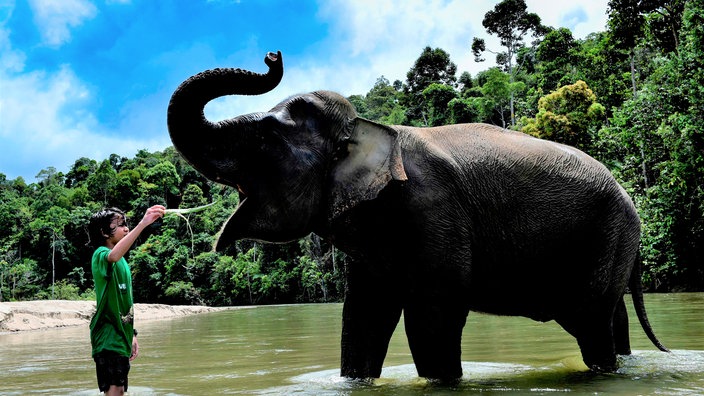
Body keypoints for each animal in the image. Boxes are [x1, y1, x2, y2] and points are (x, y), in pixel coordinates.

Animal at [168, 50, 668, 380]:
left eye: (267, 136)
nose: (273, 56)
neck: (371, 129)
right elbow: (364, 316)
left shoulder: (433, 208)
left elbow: (432, 315)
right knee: (613, 320)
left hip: (610, 237)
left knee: (592, 323)